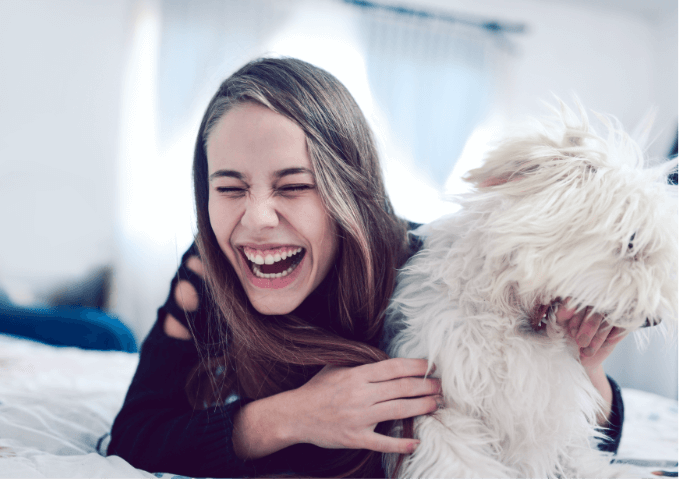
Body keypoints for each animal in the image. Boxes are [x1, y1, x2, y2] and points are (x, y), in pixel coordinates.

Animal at [386, 104, 676, 479]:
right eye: (631, 242)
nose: (653, 321)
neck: (516, 320)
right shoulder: (437, 403)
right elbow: (459, 460)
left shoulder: (551, 423)